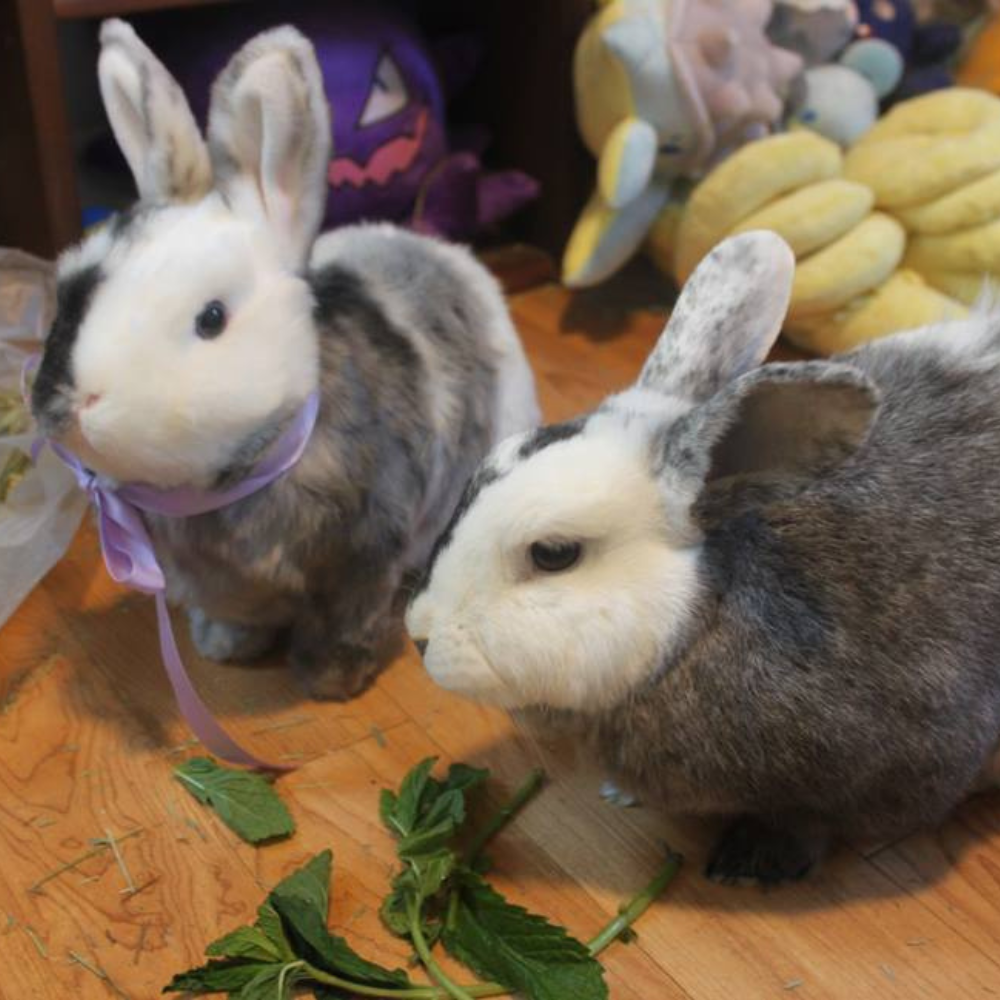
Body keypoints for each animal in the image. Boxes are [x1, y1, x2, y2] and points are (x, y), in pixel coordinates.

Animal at [33, 19, 540, 700]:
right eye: (67, 290)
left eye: (212, 318)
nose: (73, 404)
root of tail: (437, 246)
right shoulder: (219, 587)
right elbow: (234, 618)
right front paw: (222, 649)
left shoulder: (363, 562)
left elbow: (345, 625)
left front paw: (330, 683)